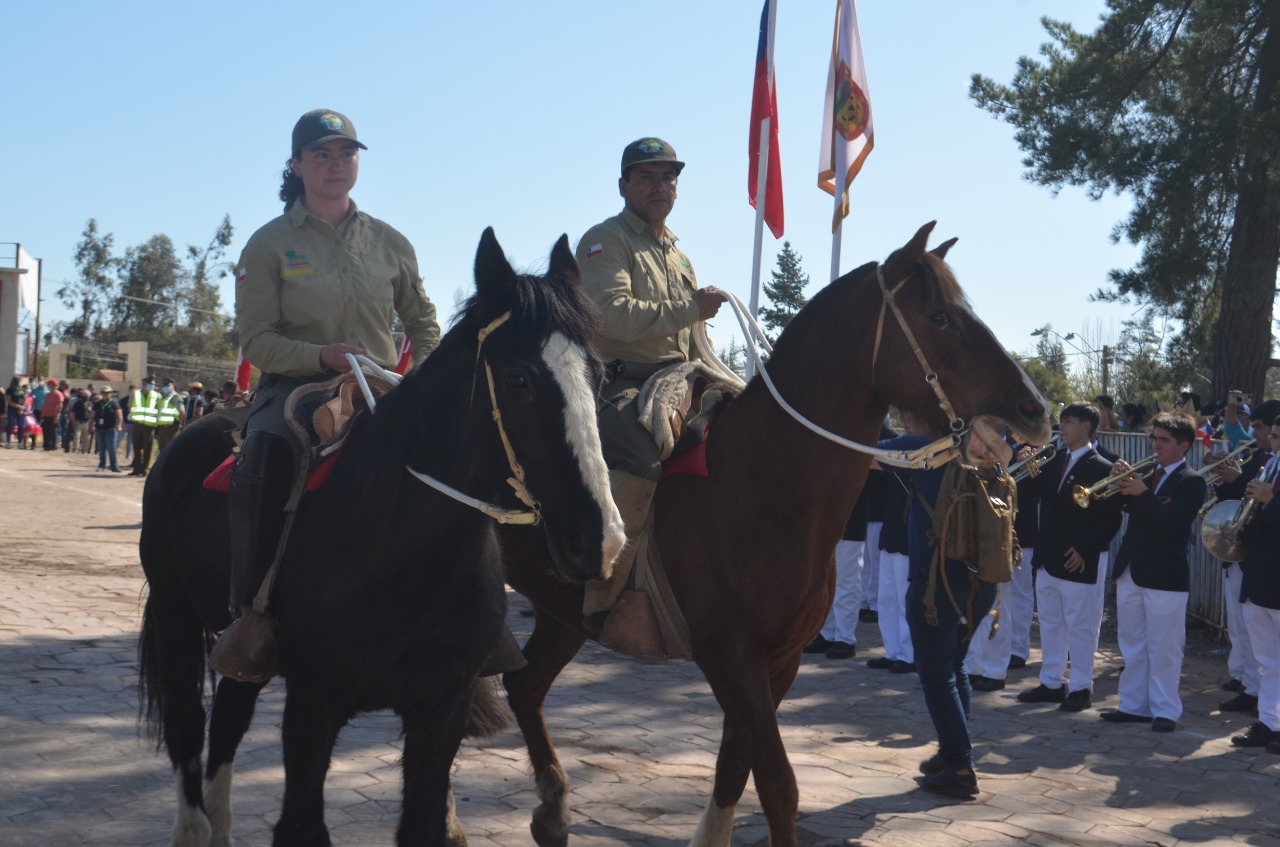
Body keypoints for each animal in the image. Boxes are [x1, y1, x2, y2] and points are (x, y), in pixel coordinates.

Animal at [136, 227, 624, 847]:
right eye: (519, 378)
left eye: (599, 376)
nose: (599, 540)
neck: (398, 556)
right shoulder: (313, 706)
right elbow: (300, 824)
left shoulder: (440, 710)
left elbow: (423, 822)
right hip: (174, 615)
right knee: (187, 724)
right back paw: (196, 826)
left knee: (228, 717)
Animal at [494, 223, 1044, 847]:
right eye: (940, 317)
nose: (1033, 410)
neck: (766, 481)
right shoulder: (731, 656)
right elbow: (778, 785)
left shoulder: (779, 660)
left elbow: (735, 768)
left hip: (564, 615)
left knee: (526, 686)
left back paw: (551, 814)